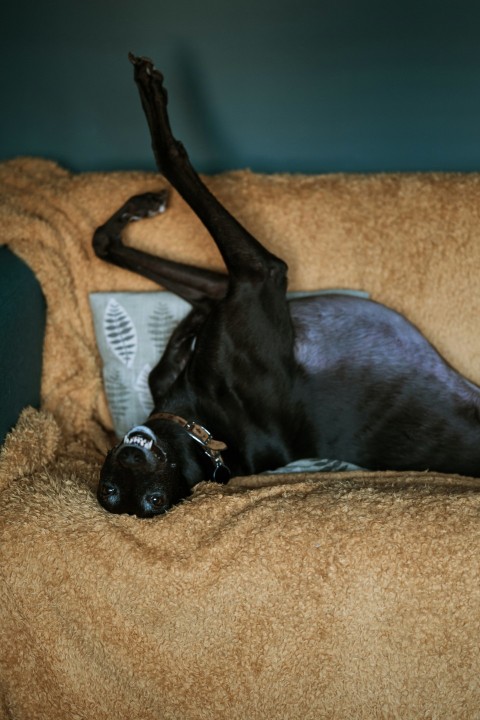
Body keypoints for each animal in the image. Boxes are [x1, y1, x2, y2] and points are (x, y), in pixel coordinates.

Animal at [93, 56, 480, 516]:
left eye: (149, 497)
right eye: (114, 493)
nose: (131, 457)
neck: (204, 430)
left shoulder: (231, 288)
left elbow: (107, 244)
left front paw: (141, 207)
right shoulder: (259, 276)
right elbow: (169, 157)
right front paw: (150, 90)